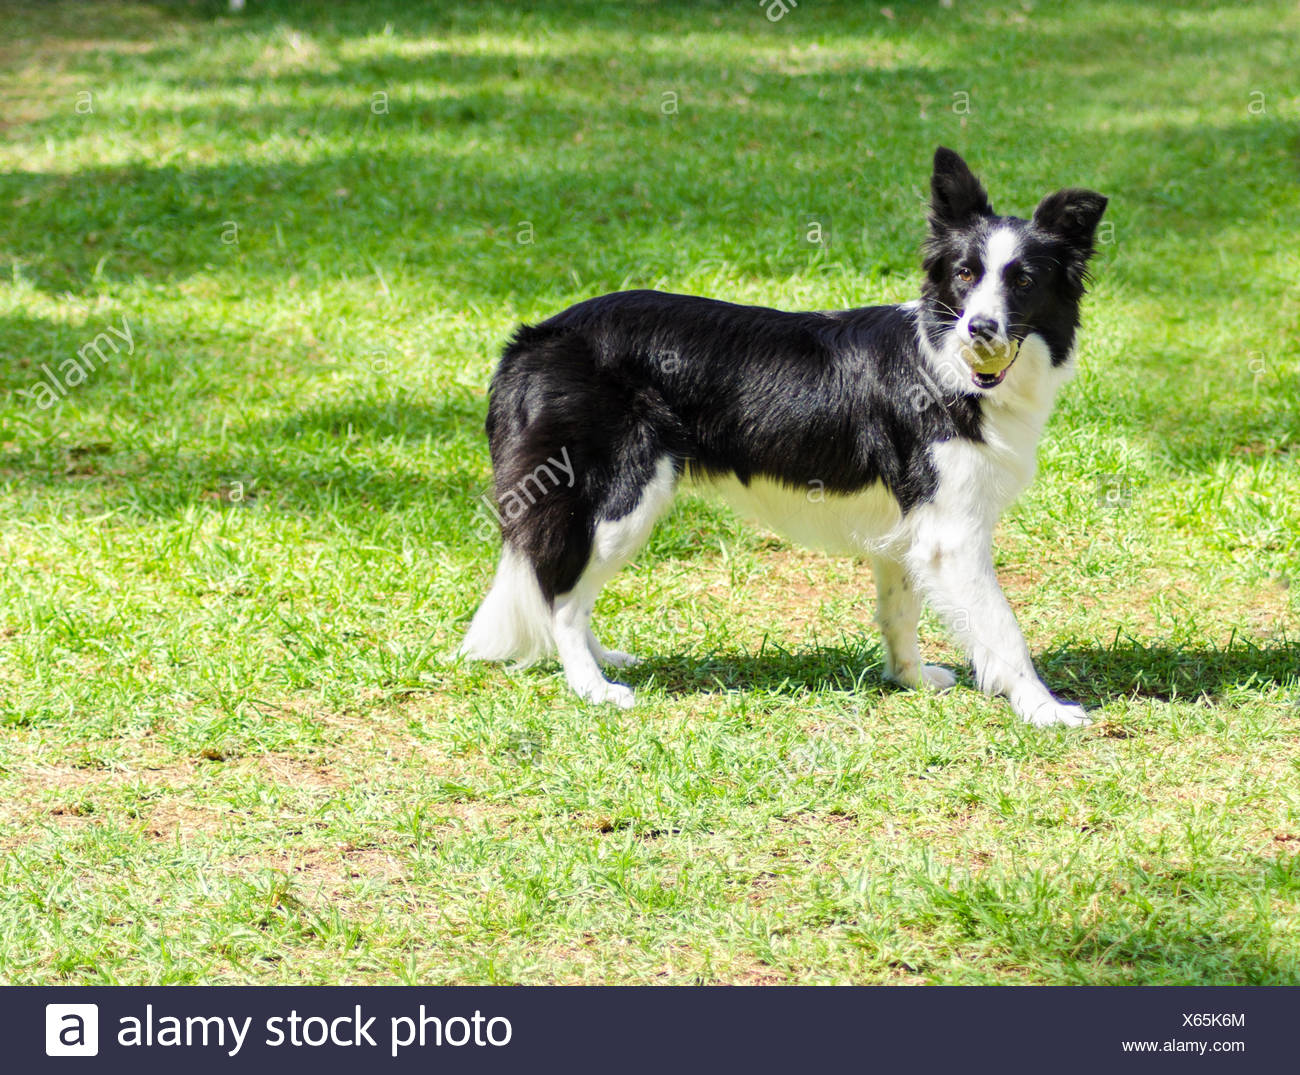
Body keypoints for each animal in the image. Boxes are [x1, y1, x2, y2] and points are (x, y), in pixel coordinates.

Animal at [462, 146, 1102, 727]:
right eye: (966, 275)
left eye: (1024, 282)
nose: (980, 329)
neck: (945, 367)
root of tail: (534, 339)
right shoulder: (954, 533)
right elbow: (1003, 627)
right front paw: (1044, 708)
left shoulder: (909, 529)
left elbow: (899, 611)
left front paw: (910, 679)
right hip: (619, 496)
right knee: (561, 595)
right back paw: (593, 687)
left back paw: (606, 660)